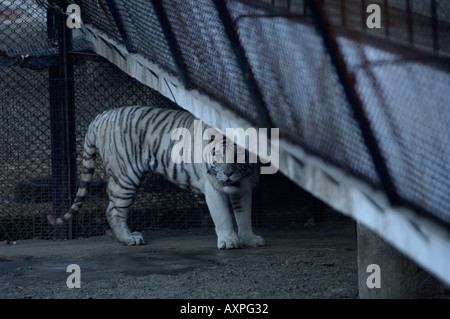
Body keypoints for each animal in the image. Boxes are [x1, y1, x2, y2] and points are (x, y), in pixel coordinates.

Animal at [46, 107, 264, 250]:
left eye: (238, 156)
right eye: (217, 156)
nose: (227, 173)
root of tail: (100, 116)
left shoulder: (244, 187)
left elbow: (244, 215)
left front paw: (249, 239)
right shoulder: (213, 188)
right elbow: (223, 215)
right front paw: (229, 241)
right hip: (125, 177)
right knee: (113, 211)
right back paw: (129, 239)